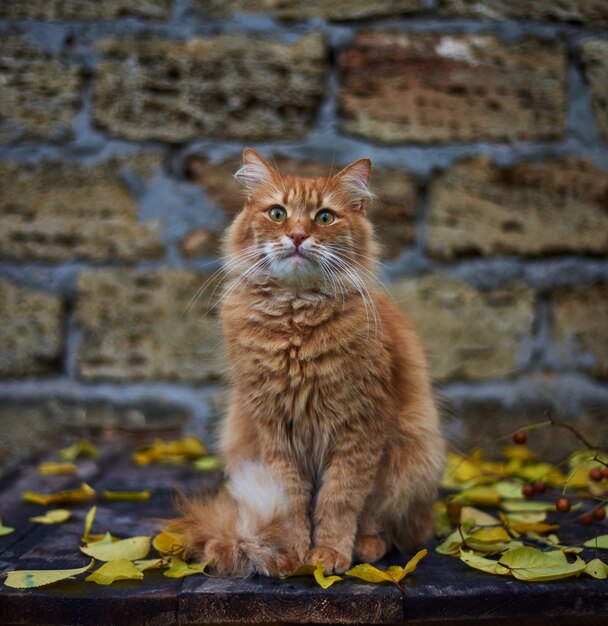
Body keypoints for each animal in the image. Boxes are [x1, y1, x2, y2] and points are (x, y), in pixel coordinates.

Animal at [173, 147, 444, 576]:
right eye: (277, 213)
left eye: (324, 217)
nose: (298, 235)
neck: (295, 320)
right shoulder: (275, 431)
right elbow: (292, 501)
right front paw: (293, 552)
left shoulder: (360, 429)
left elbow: (339, 499)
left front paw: (330, 553)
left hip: (414, 454)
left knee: (388, 525)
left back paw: (366, 546)